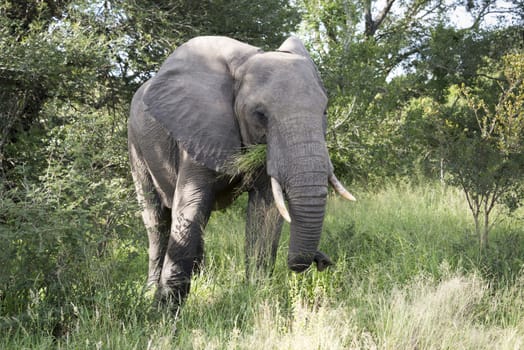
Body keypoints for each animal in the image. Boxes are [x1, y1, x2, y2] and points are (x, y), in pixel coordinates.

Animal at [128, 35, 354, 308]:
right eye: (260, 115)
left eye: (324, 111)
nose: (322, 261)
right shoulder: (198, 130)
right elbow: (191, 204)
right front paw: (165, 308)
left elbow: (265, 211)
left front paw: (258, 294)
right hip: (135, 144)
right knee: (156, 220)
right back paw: (150, 290)